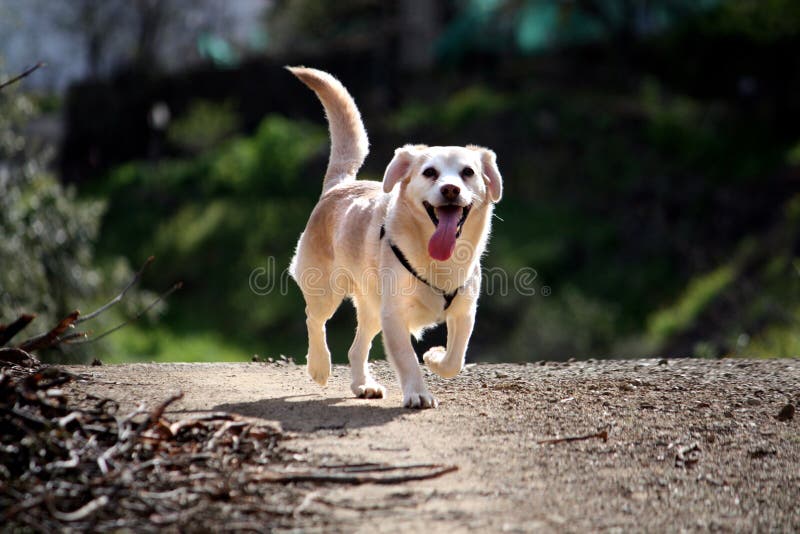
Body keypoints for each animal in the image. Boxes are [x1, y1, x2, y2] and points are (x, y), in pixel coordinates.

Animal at [286, 68, 500, 410]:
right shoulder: (395, 315)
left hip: (372, 308)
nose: (450, 189)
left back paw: (363, 384)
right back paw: (319, 365)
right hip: (325, 290)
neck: (437, 259)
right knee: (313, 320)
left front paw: (436, 357)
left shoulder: (465, 311)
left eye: (468, 172)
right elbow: (407, 358)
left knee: (356, 348)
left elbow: (456, 358)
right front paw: (418, 392)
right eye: (430, 172)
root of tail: (339, 185)